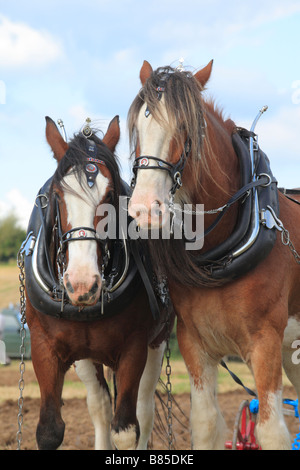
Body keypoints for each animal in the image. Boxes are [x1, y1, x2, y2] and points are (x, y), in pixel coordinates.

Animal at [23, 115, 171, 450]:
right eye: (57, 195)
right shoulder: (44, 347)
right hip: (86, 357)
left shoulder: (134, 348)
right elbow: (49, 431)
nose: (81, 284)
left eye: (110, 196)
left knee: (145, 410)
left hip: (157, 342)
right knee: (100, 407)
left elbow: (127, 431)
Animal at [127, 60, 300, 450]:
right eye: (138, 128)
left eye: (185, 128)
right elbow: (205, 424)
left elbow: (271, 431)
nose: (144, 209)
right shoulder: (194, 343)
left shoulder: (265, 343)